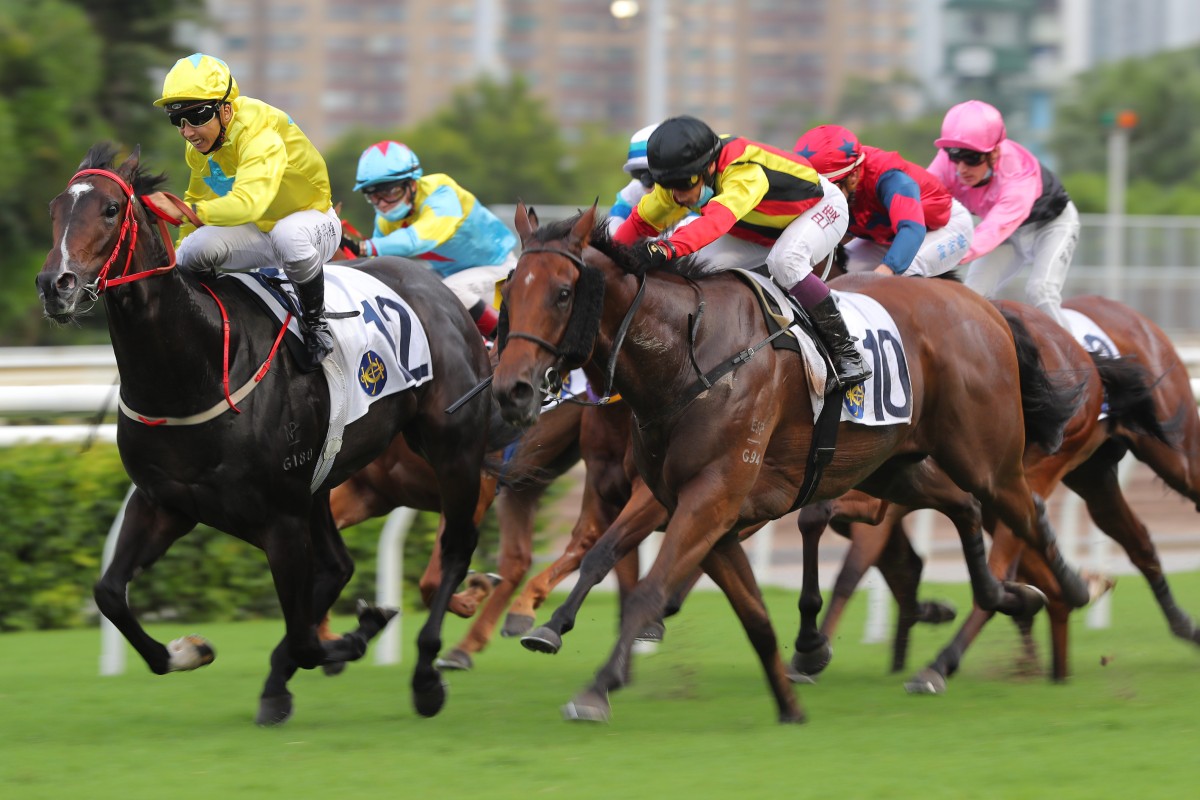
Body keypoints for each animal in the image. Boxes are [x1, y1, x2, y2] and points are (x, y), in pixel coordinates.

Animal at [36, 143, 496, 724]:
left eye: (111, 209)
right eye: (55, 209)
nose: (56, 285)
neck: (196, 367)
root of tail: (439, 289)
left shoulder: (279, 517)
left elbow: (303, 636)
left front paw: (351, 638)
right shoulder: (164, 501)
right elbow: (109, 593)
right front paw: (188, 650)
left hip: (453, 447)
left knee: (454, 548)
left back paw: (425, 675)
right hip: (322, 479)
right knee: (339, 566)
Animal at [492, 205, 1094, 724]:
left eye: (563, 293)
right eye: (509, 292)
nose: (510, 391)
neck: (690, 355)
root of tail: (986, 308)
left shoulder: (711, 496)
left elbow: (649, 586)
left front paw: (597, 687)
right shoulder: (691, 503)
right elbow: (615, 558)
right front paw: (551, 628)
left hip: (985, 458)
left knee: (1027, 511)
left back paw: (1068, 588)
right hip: (894, 465)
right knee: (964, 507)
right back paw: (1000, 599)